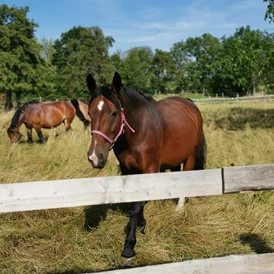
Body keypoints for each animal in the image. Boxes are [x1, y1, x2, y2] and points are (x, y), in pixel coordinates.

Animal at [85, 71, 206, 260]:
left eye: (114, 113)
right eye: (90, 113)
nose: (95, 157)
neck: (138, 130)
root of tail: (190, 103)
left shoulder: (150, 169)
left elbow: (136, 206)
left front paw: (129, 246)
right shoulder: (128, 171)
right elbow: (135, 201)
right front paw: (141, 224)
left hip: (191, 156)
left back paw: (179, 208)